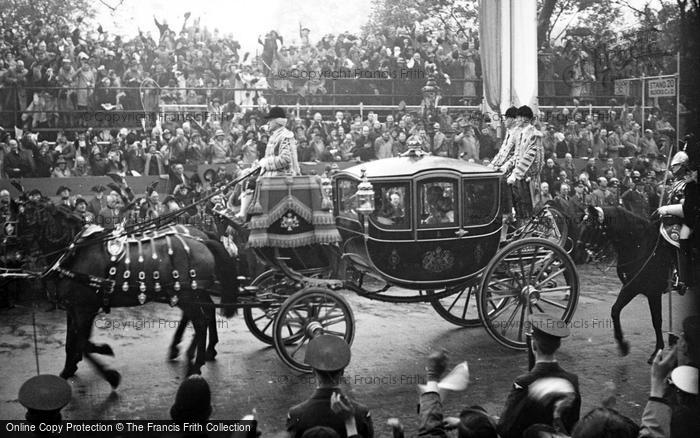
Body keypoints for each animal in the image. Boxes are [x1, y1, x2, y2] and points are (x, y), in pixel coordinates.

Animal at [576, 205, 676, 362]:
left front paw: (657, 351)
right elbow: (615, 310)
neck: (639, 245)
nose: (577, 253)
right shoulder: (630, 287)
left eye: (591, 226)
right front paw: (622, 345)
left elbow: (656, 320)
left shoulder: (653, 292)